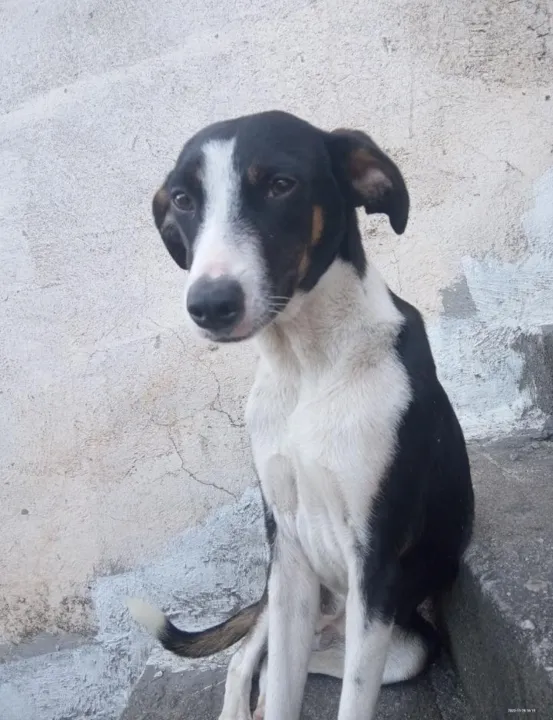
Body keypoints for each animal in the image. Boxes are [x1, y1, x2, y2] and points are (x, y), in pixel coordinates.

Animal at [127, 108, 472, 720]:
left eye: (280, 185)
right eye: (184, 199)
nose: (210, 305)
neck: (308, 364)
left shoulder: (377, 562)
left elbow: (345, 699)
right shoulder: (286, 551)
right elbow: (278, 685)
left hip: (401, 645)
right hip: (282, 596)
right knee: (250, 660)